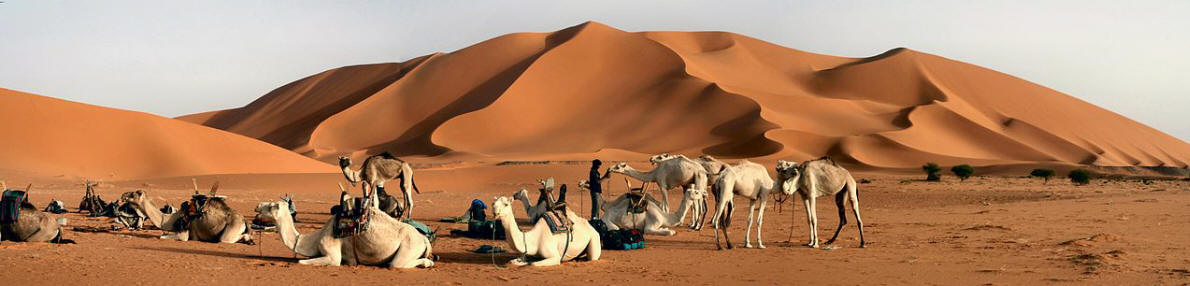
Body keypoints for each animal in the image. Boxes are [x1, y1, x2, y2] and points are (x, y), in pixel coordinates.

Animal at [120, 183, 253, 243]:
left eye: (133, 194)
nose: (123, 195)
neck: (169, 219)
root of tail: (244, 221)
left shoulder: (184, 234)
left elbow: (162, 236)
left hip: (230, 231)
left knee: (226, 239)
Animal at [253, 197, 435, 269]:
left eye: (272, 206)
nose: (257, 205)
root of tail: (424, 239)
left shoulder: (333, 255)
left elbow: (301, 261)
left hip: (410, 246)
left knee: (396, 264)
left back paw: (428, 263)